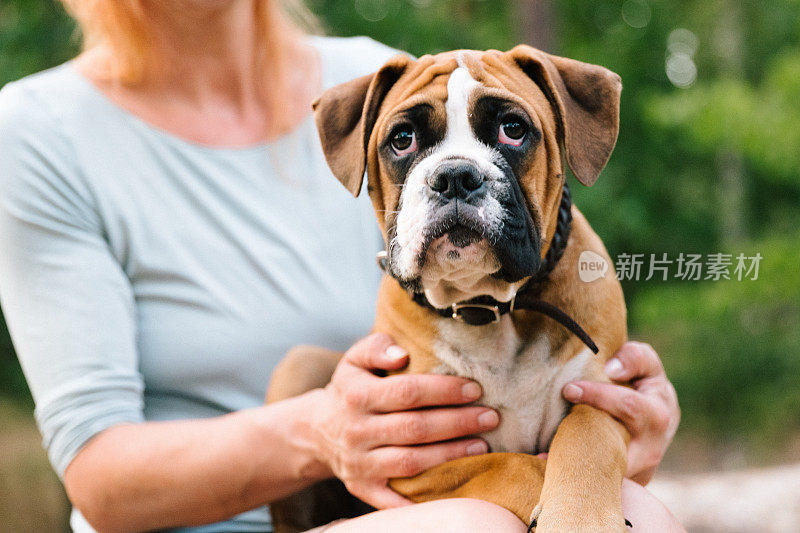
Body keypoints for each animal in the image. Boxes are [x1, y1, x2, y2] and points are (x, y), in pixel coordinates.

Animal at [268, 46, 632, 532]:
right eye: (402, 138)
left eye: (513, 129)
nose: (455, 176)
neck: (487, 308)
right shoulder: (415, 460)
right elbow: (507, 466)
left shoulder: (606, 396)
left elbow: (587, 438)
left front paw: (579, 516)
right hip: (300, 364)